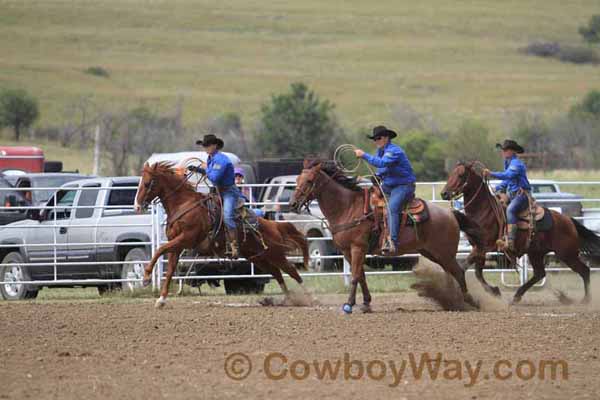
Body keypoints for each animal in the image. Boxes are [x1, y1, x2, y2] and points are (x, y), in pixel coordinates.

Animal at [135, 161, 310, 308]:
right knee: (277, 273)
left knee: (291, 270)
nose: (137, 206)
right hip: (258, 257)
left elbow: (159, 249)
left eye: (147, 183)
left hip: (275, 254)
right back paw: (288, 299)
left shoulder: (186, 239)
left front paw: (146, 277)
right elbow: (170, 269)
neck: (184, 204)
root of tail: (272, 224)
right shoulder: (177, 245)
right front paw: (161, 299)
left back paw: (308, 297)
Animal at [290, 159, 482, 312]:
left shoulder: (358, 247)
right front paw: (366, 303)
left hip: (444, 253)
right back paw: (453, 301)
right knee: (451, 272)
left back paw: (469, 301)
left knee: (458, 271)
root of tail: (450, 213)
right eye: (297, 180)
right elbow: (361, 276)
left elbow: (355, 276)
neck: (348, 207)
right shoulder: (347, 251)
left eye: (309, 180)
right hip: (433, 253)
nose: (292, 204)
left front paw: (349, 305)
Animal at [440, 159, 600, 304]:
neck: (483, 211)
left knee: (584, 271)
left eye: (461, 175)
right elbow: (478, 273)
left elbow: (464, 268)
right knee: (539, 274)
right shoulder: (478, 247)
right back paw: (517, 296)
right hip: (536, 253)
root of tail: (569, 220)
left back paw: (586, 300)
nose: (444, 194)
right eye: (451, 174)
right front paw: (494, 291)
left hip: (566, 254)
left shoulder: (483, 247)